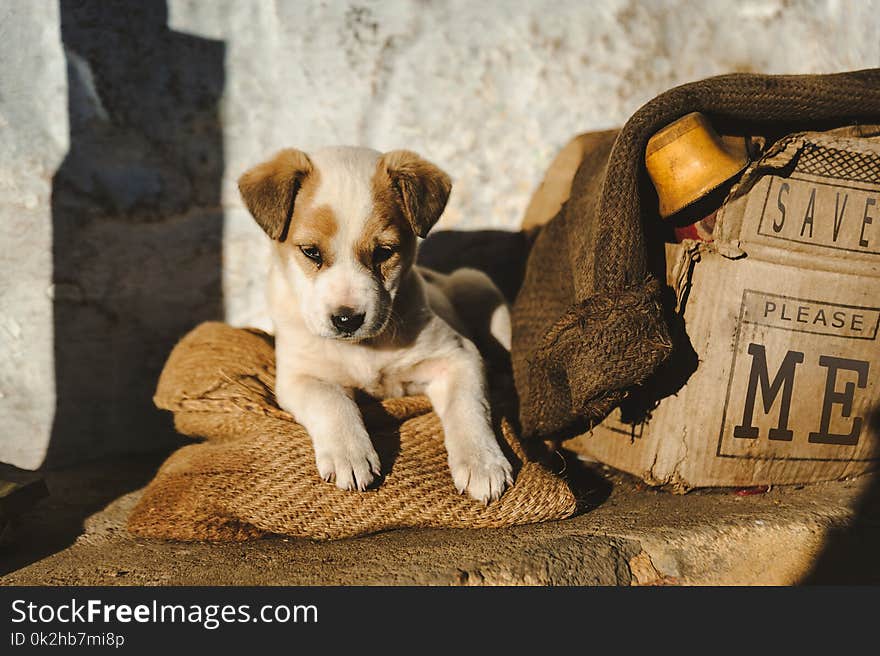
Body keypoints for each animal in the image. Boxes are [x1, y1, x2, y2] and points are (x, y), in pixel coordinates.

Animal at [239, 145, 516, 502]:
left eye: (384, 252)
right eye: (311, 252)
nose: (347, 319)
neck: (365, 348)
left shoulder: (458, 356)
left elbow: (467, 406)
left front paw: (481, 461)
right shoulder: (299, 376)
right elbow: (331, 401)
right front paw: (349, 454)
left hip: (476, 285)